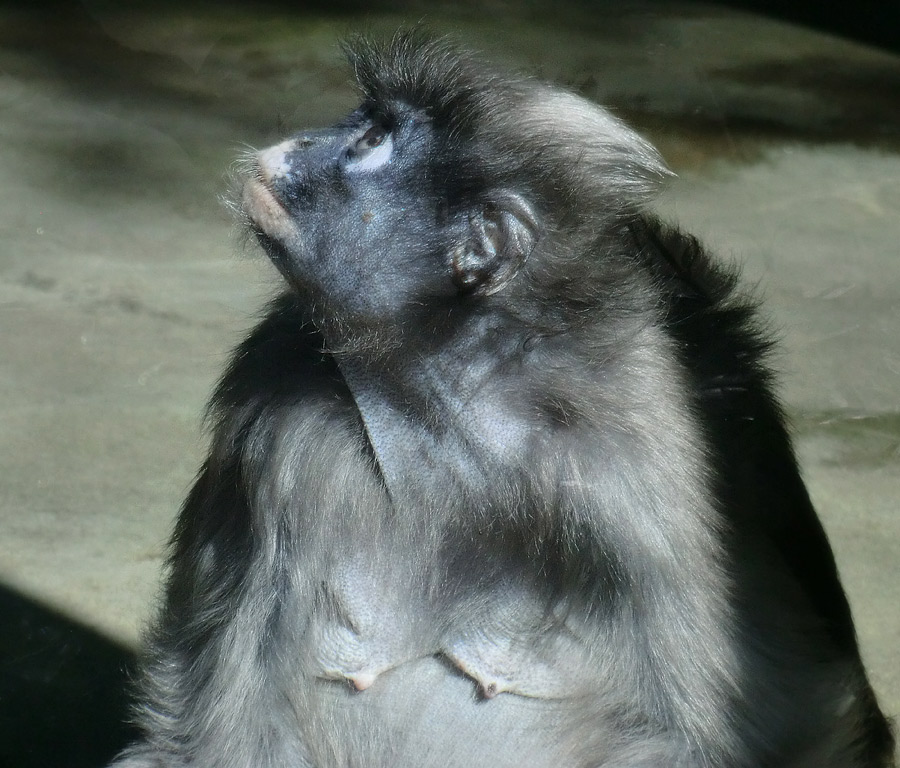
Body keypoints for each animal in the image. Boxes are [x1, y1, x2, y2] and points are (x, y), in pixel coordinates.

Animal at [109, 28, 896, 768]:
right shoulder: (271, 425)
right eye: (362, 120)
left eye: (371, 140)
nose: (304, 141)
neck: (453, 418)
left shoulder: (644, 488)